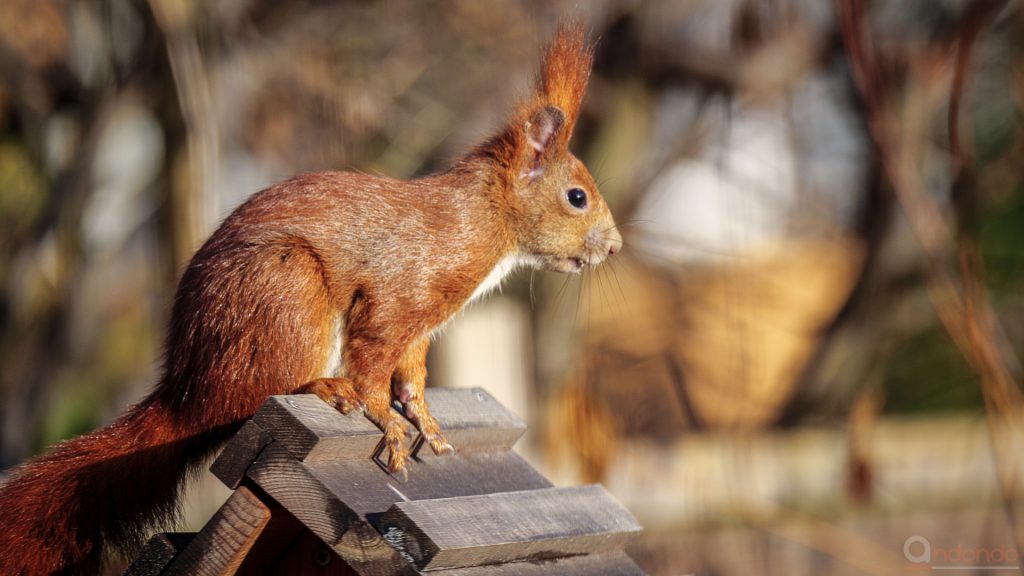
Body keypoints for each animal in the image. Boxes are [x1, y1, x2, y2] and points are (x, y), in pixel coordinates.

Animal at [0, 22, 618, 573]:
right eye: (577, 197)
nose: (613, 247)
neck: (485, 224)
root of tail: (187, 390)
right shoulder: (399, 292)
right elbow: (374, 363)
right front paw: (385, 420)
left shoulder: (421, 329)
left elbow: (412, 378)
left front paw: (428, 423)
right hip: (285, 295)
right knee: (254, 396)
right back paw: (321, 386)